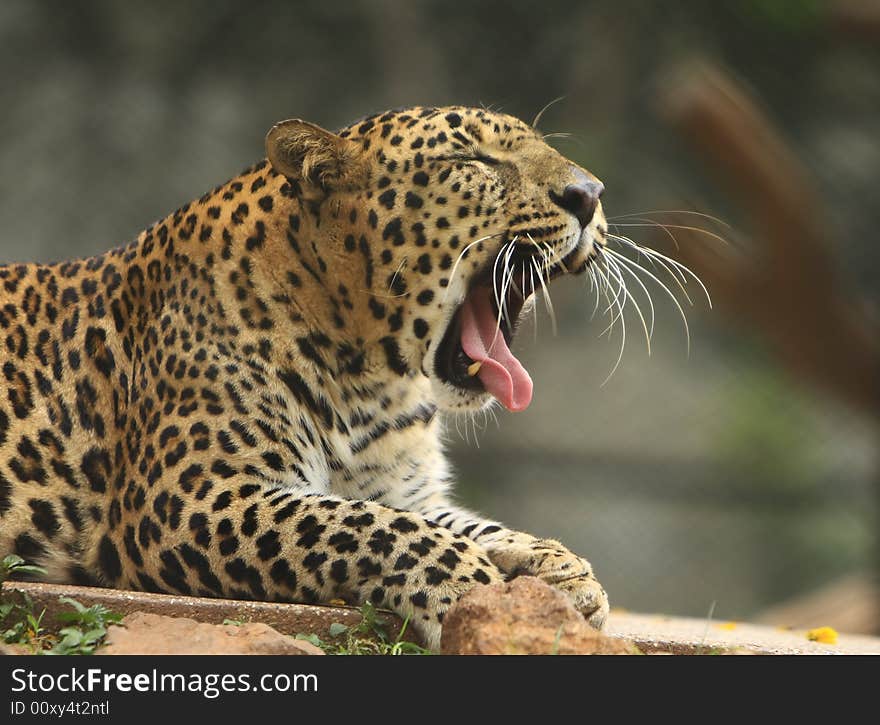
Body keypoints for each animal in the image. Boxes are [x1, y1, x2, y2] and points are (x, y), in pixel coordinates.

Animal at [0, 104, 612, 648]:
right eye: (472, 158)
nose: (590, 194)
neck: (375, 380)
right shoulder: (185, 497)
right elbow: (368, 525)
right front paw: (470, 587)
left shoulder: (399, 489)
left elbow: (456, 521)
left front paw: (563, 570)